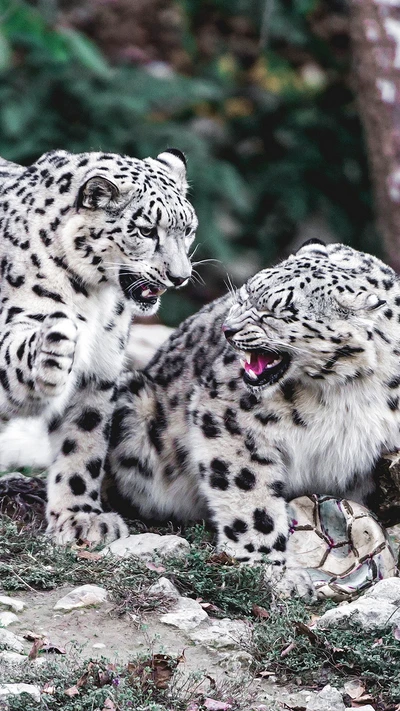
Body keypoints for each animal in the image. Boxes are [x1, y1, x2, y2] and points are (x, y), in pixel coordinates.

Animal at [0, 146, 198, 544]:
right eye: (146, 230)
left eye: (187, 228)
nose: (180, 276)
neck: (93, 296)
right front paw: (56, 340)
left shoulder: (99, 372)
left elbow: (83, 442)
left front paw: (80, 518)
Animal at [105, 239, 400, 596]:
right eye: (245, 295)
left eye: (278, 312)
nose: (227, 329)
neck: (349, 390)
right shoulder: (229, 418)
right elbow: (249, 493)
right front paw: (269, 566)